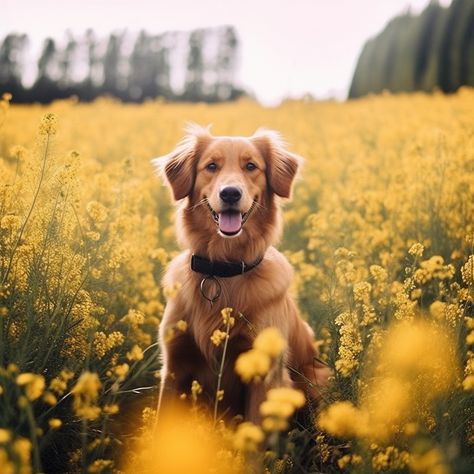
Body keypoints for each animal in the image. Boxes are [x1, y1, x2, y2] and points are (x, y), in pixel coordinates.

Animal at [155, 126, 330, 422]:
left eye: (251, 166)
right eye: (211, 166)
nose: (230, 194)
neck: (222, 272)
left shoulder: (265, 374)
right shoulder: (174, 366)